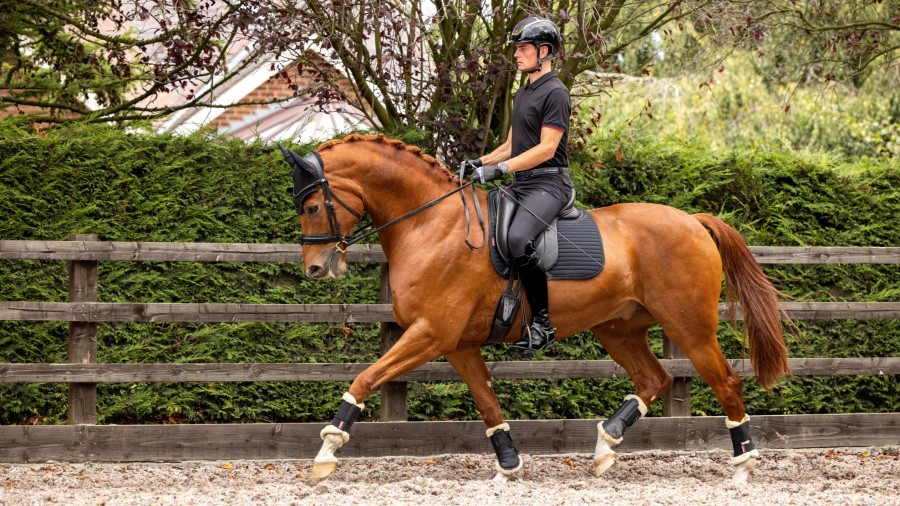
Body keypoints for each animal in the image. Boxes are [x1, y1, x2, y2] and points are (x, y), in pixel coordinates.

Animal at [288, 133, 788, 482]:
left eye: (311, 206)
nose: (315, 268)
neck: (431, 223)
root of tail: (692, 220)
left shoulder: (429, 333)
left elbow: (366, 377)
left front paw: (326, 452)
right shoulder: (456, 344)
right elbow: (487, 402)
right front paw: (508, 463)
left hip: (689, 326)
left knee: (724, 382)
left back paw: (743, 465)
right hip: (618, 327)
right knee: (655, 379)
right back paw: (605, 446)